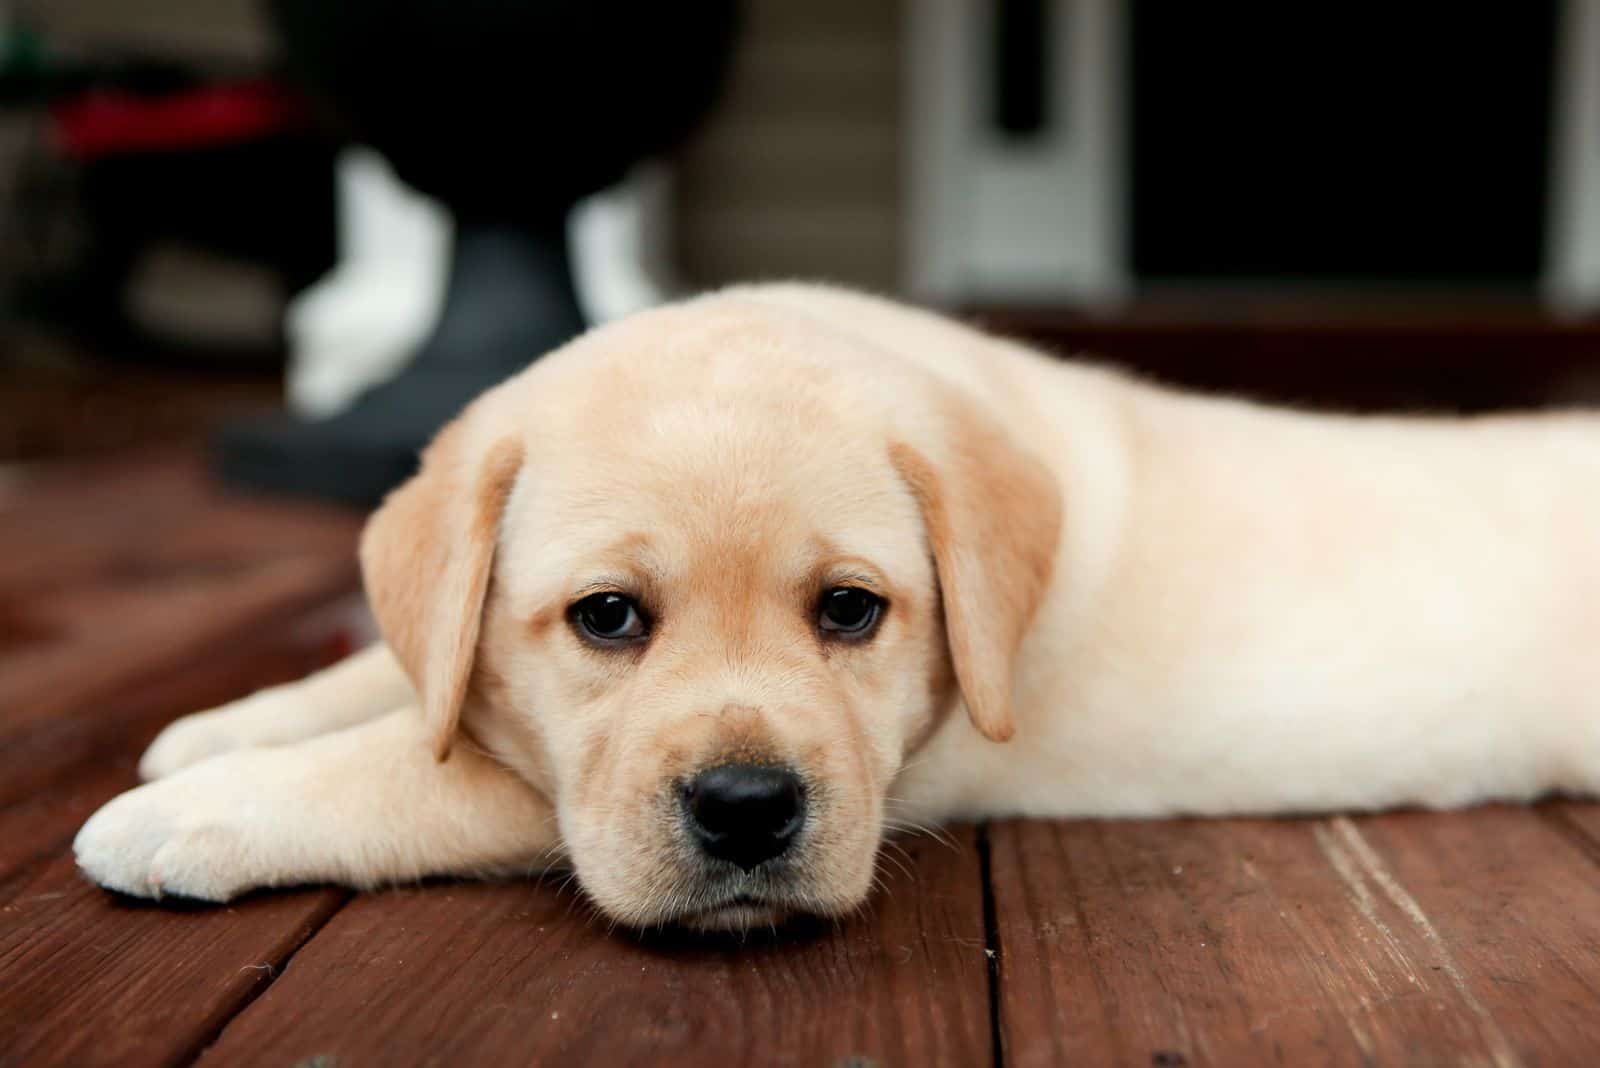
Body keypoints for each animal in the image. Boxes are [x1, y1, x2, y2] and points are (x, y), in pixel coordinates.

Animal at [72, 287, 1600, 927]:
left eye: (852, 612)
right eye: (608, 618)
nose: (749, 812)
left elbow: (431, 771)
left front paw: (188, 811)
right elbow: (409, 673)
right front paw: (229, 723)